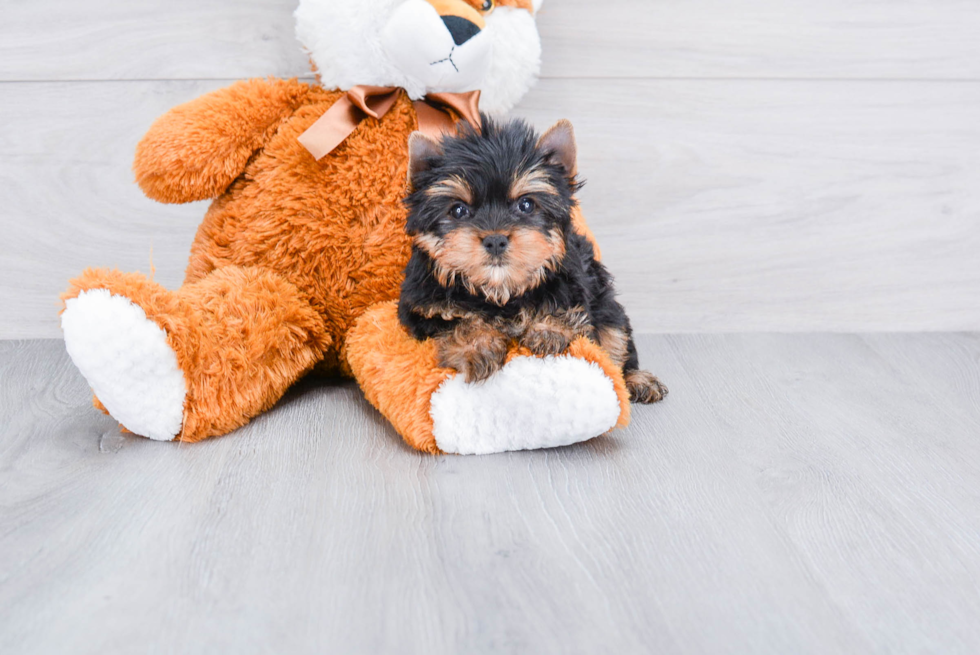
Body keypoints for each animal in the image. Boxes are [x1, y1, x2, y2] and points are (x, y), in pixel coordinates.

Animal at [396, 118, 668, 404]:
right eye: (459, 210)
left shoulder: (574, 283)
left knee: (615, 338)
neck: (500, 290)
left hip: (606, 302)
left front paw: (548, 331)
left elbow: (565, 308)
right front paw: (477, 348)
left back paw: (636, 379)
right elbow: (456, 322)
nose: (495, 240)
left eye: (526, 205)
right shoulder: (424, 307)